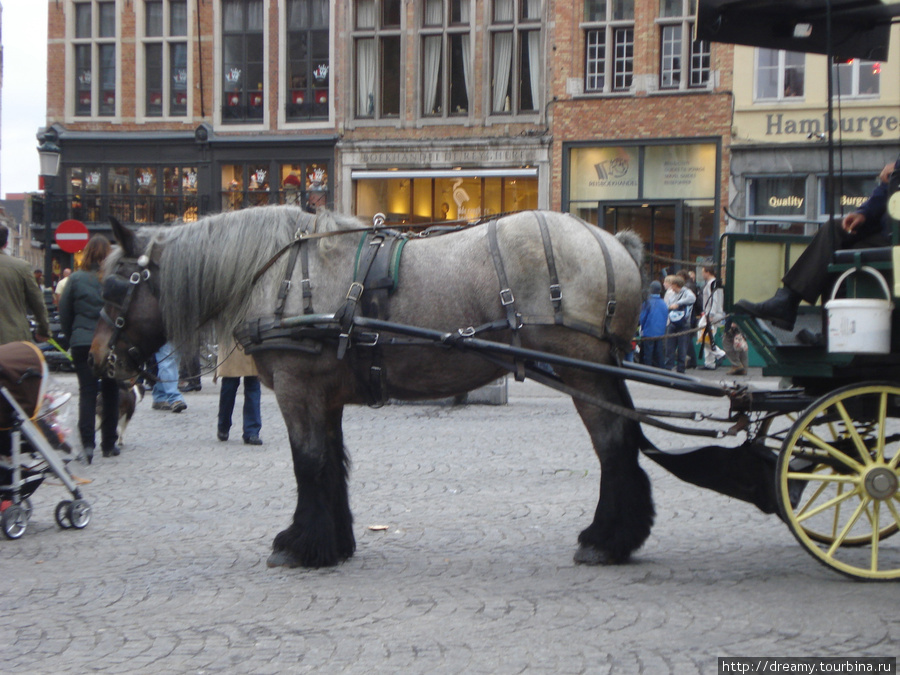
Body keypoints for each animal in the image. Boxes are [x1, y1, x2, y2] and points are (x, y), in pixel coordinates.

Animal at [93, 206, 652, 572]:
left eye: (116, 286)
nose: (101, 359)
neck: (276, 273)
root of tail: (612, 242)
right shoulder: (325, 395)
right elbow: (331, 465)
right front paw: (333, 543)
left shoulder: (296, 389)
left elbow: (308, 464)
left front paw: (298, 544)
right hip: (600, 371)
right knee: (625, 442)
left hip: (584, 371)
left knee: (613, 446)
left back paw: (605, 540)